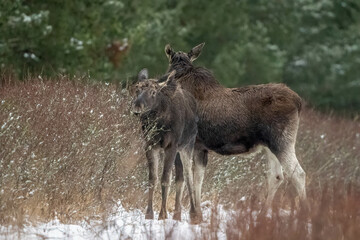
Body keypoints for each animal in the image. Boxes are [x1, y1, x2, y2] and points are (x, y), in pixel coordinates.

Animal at [129, 69, 198, 221]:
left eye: (153, 92)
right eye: (137, 89)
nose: (137, 107)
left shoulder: (171, 146)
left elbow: (165, 179)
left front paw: (163, 214)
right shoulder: (150, 145)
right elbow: (152, 179)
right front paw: (149, 213)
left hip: (187, 146)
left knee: (189, 176)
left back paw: (195, 213)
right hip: (177, 152)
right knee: (180, 178)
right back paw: (177, 214)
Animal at [162, 43, 308, 223]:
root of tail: (298, 101)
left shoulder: (187, 144)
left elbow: (184, 178)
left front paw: (189, 214)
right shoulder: (200, 147)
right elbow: (197, 179)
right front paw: (196, 214)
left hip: (282, 141)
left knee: (298, 174)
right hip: (270, 146)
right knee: (276, 176)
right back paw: (261, 215)